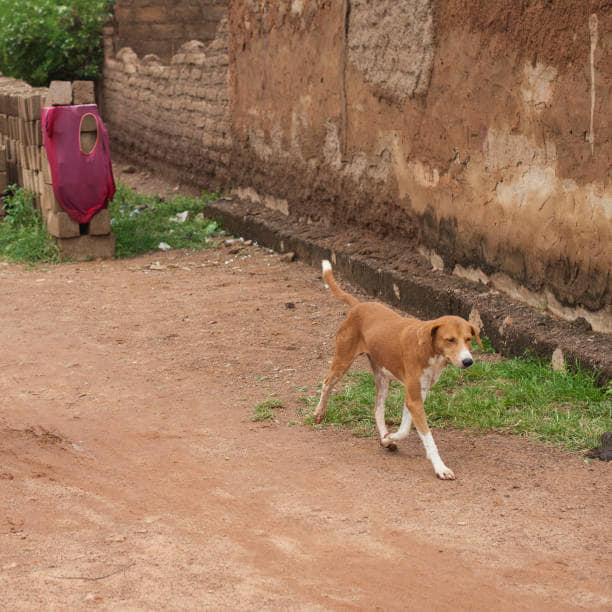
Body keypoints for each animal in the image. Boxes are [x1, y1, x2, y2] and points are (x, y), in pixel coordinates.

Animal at [316, 258, 482, 478]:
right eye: (450, 340)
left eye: (469, 339)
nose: (468, 361)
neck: (429, 351)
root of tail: (359, 305)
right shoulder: (414, 398)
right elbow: (427, 436)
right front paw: (440, 467)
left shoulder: (417, 394)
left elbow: (404, 428)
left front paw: (388, 438)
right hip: (343, 360)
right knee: (326, 383)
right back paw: (319, 412)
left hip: (382, 377)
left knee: (377, 409)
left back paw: (386, 439)